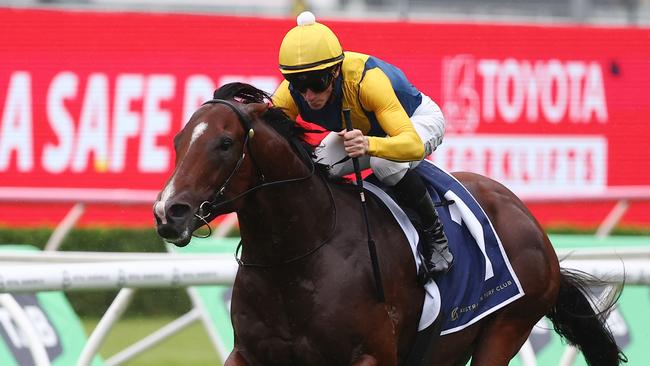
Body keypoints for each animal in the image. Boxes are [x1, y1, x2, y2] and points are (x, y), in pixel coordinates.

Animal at [152, 83, 624, 366]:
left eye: (224, 143)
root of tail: (529, 220)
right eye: (177, 140)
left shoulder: (372, 357)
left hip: (506, 328)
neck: (298, 258)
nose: (168, 212)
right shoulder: (249, 355)